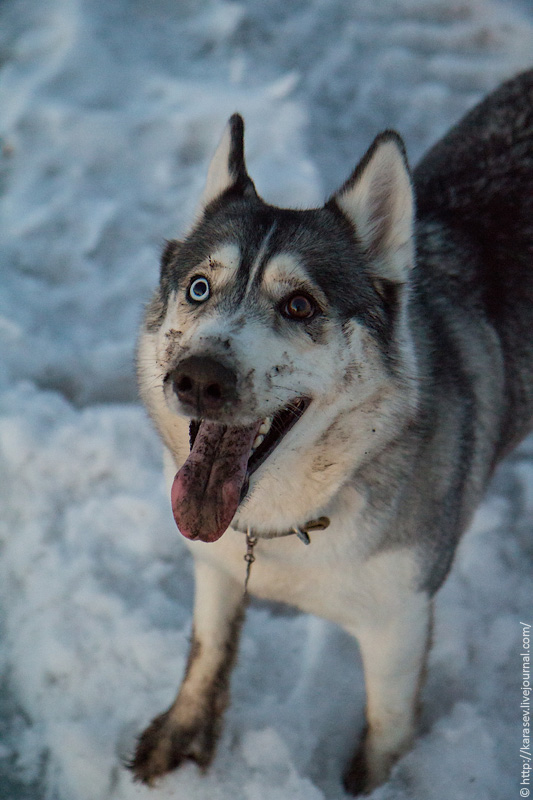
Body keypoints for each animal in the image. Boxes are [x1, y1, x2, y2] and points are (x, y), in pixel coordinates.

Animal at [132, 72, 532, 796]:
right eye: (199, 288)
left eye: (299, 305)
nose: (197, 378)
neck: (284, 522)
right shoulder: (215, 563)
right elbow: (207, 649)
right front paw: (181, 734)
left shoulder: (399, 620)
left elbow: (385, 728)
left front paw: (370, 785)